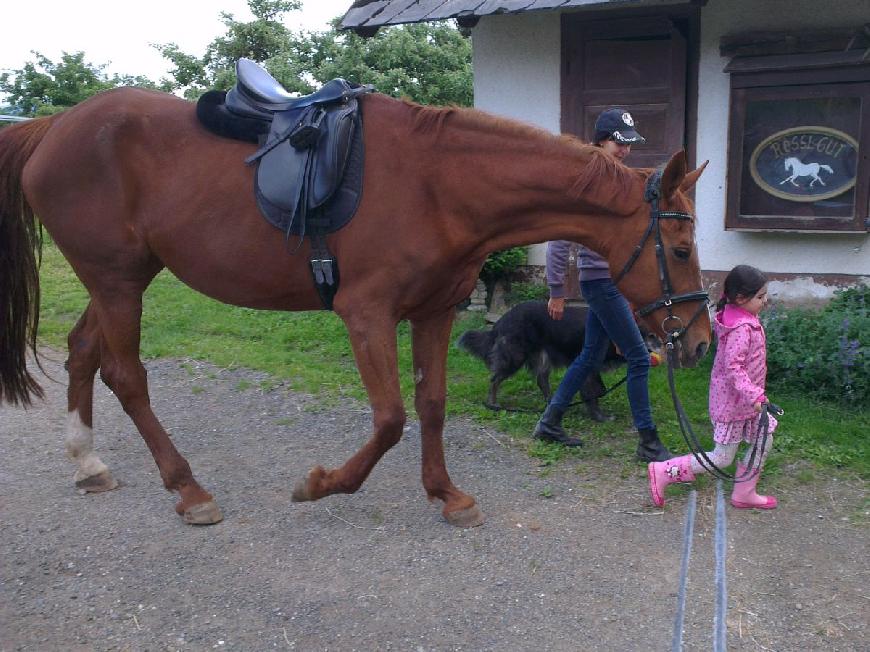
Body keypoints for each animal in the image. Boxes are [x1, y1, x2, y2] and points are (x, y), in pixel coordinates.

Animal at [460, 300, 624, 422]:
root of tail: (502, 319)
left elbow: (599, 389)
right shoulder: (587, 365)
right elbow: (593, 392)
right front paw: (600, 417)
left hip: (541, 356)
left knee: (541, 380)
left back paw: (552, 404)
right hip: (515, 356)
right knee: (495, 379)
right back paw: (493, 404)